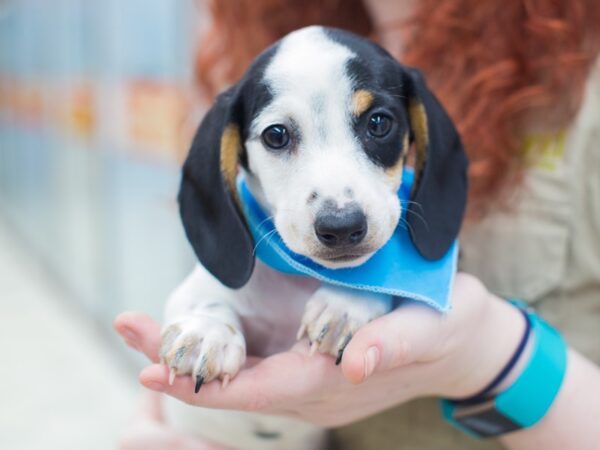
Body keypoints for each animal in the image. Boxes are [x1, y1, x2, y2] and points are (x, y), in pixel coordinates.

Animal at [161, 27, 468, 450]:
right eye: (276, 135)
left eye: (378, 122)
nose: (341, 226)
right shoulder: (190, 291)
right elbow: (207, 300)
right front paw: (206, 331)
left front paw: (346, 303)